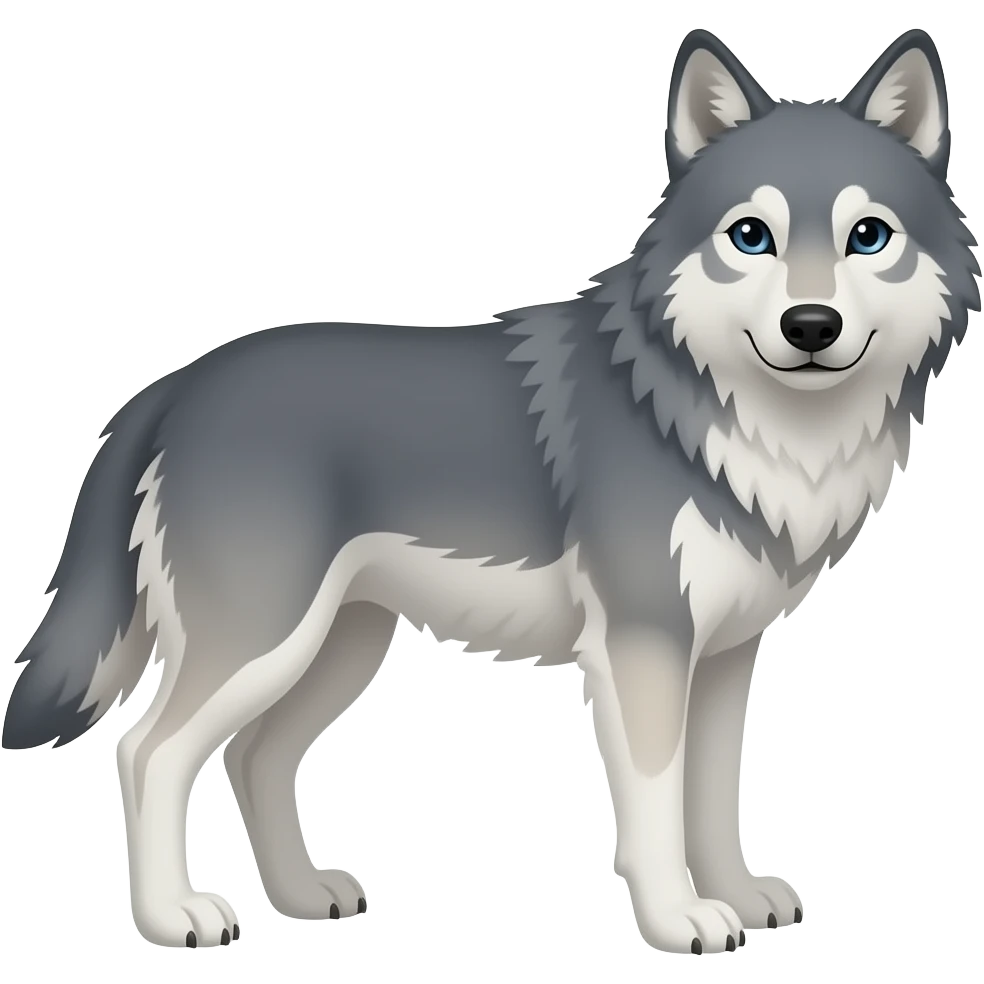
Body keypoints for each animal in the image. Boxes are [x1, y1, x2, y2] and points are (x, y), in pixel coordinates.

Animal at [3, 27, 980, 955]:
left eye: (868, 236)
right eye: (751, 237)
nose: (811, 325)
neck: (737, 420)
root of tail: (176, 384)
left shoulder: (726, 656)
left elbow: (713, 796)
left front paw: (736, 898)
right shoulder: (644, 646)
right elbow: (656, 807)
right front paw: (679, 921)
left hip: (338, 646)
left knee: (254, 756)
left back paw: (302, 896)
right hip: (261, 643)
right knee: (149, 755)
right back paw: (174, 918)